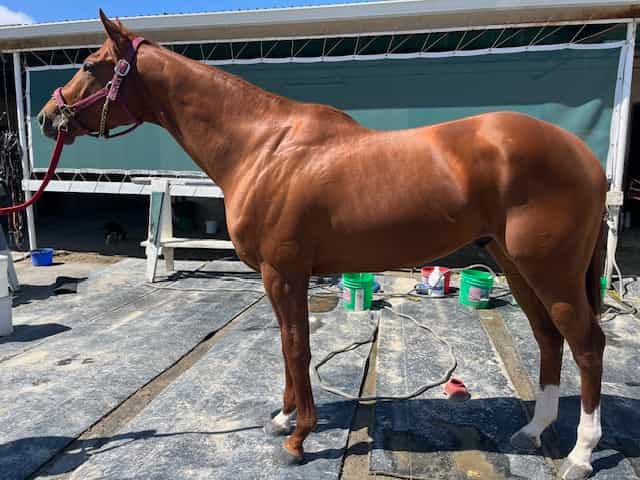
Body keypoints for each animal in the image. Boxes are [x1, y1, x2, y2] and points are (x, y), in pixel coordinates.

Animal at [37, 11, 607, 479]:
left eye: (90, 64)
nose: (46, 117)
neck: (263, 146)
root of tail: (583, 154)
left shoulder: (284, 272)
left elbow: (296, 346)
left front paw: (298, 437)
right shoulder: (278, 276)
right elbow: (287, 347)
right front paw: (283, 417)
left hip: (549, 270)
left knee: (586, 344)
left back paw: (580, 455)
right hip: (517, 265)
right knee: (549, 339)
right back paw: (533, 431)